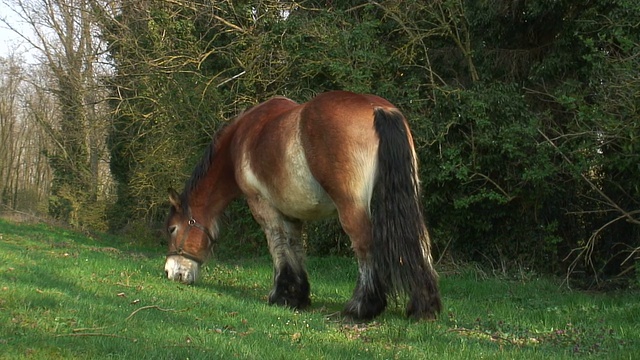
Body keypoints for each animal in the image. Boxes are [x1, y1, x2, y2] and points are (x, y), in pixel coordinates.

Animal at [165, 90, 442, 320]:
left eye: (172, 229)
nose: (170, 272)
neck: (243, 139)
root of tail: (377, 109)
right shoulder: (291, 212)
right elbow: (294, 246)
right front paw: (296, 296)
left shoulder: (262, 205)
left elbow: (277, 245)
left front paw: (280, 295)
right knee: (420, 243)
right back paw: (424, 307)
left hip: (351, 208)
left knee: (365, 245)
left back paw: (361, 307)